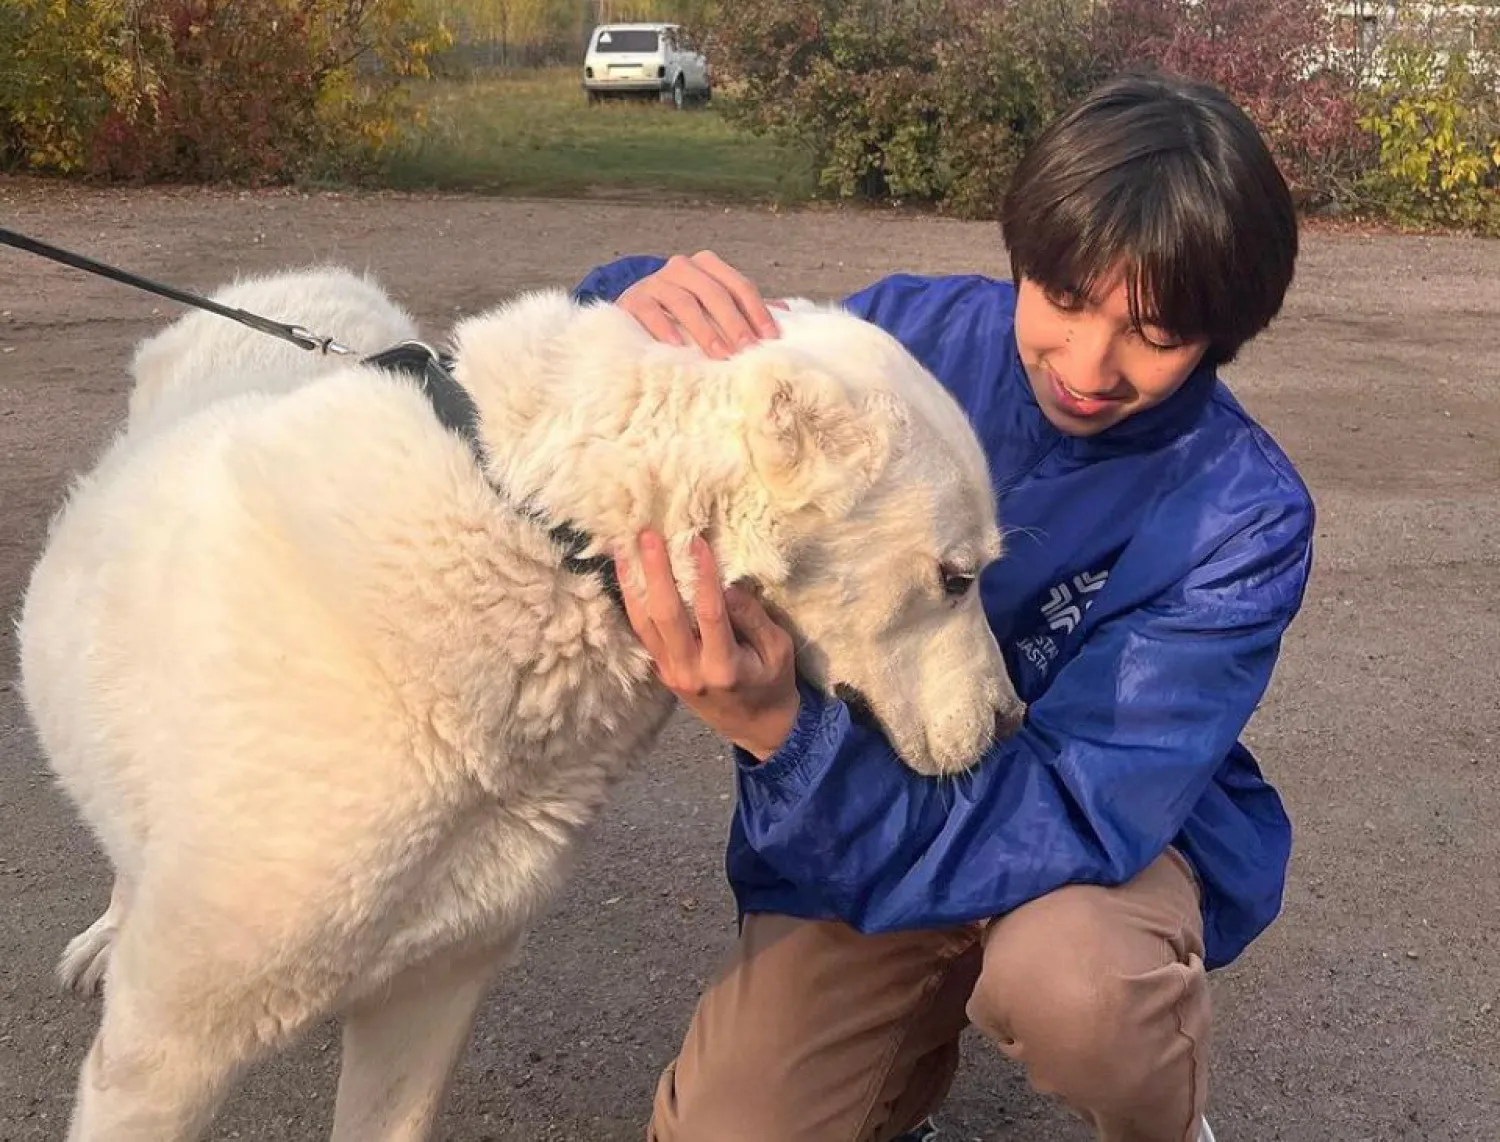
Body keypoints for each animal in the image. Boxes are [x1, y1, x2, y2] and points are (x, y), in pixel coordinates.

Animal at [14, 262, 1020, 1134]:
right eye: (956, 577)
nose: (1015, 724)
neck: (539, 542)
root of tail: (291, 282)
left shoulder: (431, 994)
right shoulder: (163, 1057)